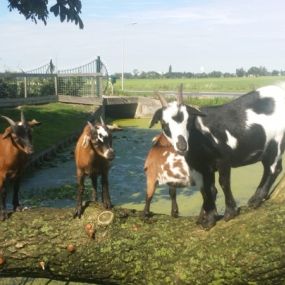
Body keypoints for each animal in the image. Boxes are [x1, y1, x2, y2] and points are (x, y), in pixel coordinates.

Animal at [150, 84, 284, 229]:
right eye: (164, 124)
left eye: (188, 121)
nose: (182, 145)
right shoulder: (202, 167)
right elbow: (208, 189)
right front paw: (209, 219)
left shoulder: (223, 160)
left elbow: (223, 182)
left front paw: (230, 212)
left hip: (276, 141)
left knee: (273, 169)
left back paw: (256, 200)